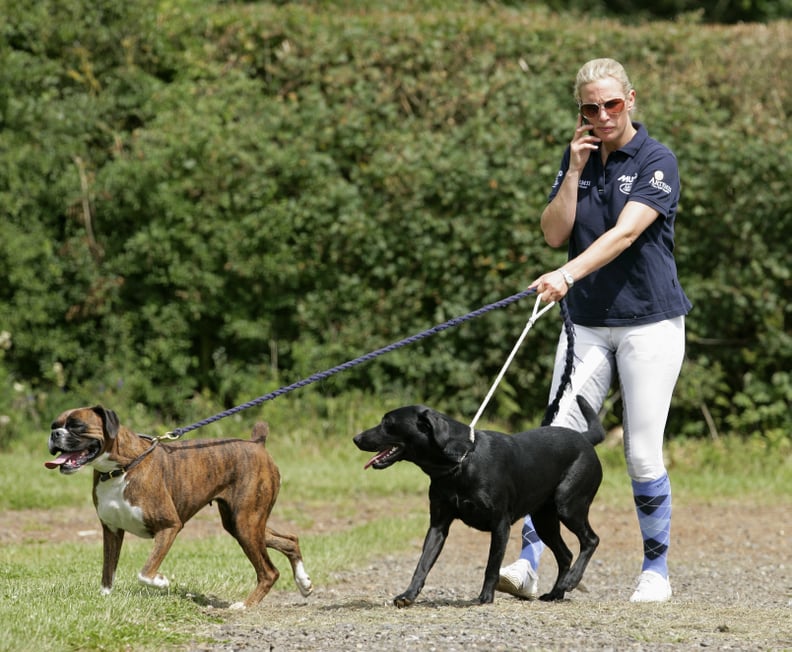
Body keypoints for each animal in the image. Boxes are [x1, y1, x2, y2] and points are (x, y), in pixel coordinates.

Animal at [44, 404, 312, 608]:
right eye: (55, 424)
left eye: (77, 426)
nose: (54, 434)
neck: (120, 469)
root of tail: (257, 443)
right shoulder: (111, 530)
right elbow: (107, 572)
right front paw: (105, 598)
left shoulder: (169, 526)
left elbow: (145, 572)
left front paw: (161, 582)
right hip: (243, 523)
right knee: (290, 540)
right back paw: (303, 582)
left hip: (246, 523)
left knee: (269, 572)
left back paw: (246, 605)